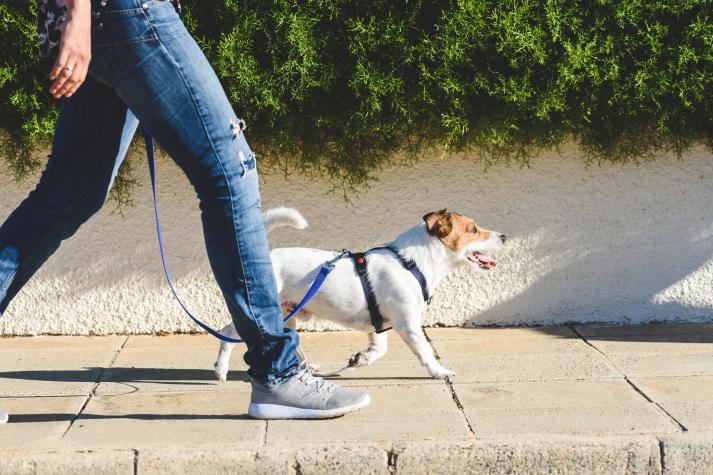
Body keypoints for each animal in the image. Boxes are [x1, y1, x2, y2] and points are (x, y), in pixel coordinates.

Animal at [214, 206, 504, 382]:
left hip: (287, 315)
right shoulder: (407, 324)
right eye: (473, 230)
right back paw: (221, 370)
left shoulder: (380, 324)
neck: (411, 262)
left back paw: (308, 368)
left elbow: (379, 349)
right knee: (228, 333)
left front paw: (361, 359)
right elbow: (425, 351)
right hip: (263, 313)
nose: (503, 236)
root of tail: (266, 259)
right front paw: (439, 371)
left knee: (290, 342)